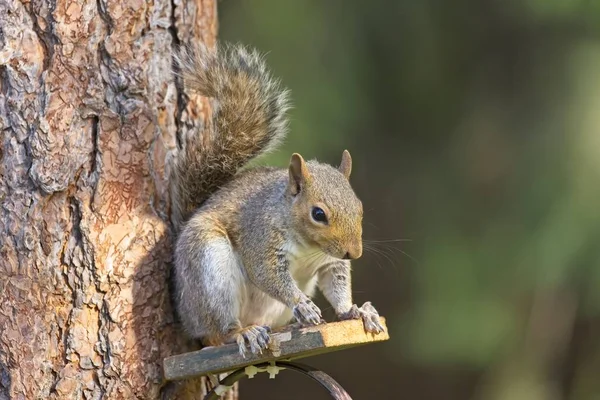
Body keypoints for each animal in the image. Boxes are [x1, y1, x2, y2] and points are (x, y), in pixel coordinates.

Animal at [169, 43, 384, 356]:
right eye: (318, 214)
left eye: (360, 209)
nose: (353, 253)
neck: (309, 247)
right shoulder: (261, 238)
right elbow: (267, 275)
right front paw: (302, 305)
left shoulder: (330, 262)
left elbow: (338, 284)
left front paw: (355, 311)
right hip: (209, 267)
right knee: (217, 332)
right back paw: (243, 332)